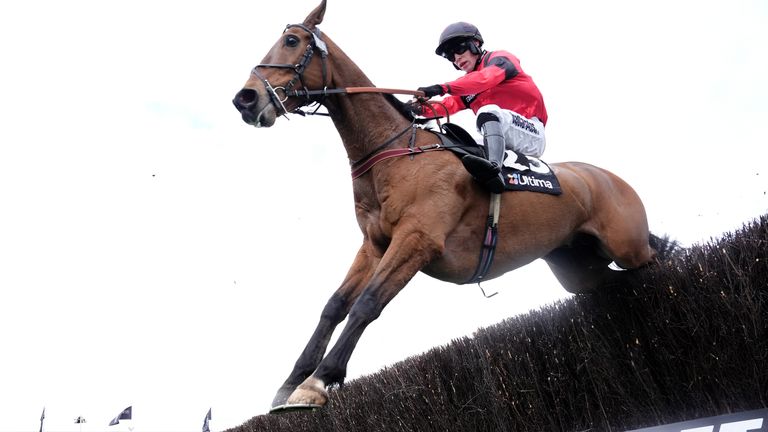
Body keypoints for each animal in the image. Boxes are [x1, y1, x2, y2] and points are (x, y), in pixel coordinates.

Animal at [231, 0, 656, 412]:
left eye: (291, 40)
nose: (245, 99)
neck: (393, 153)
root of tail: (608, 178)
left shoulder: (418, 239)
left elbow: (367, 303)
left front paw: (317, 382)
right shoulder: (374, 244)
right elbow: (334, 305)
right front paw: (289, 385)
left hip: (627, 245)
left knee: (652, 261)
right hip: (577, 268)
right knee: (613, 284)